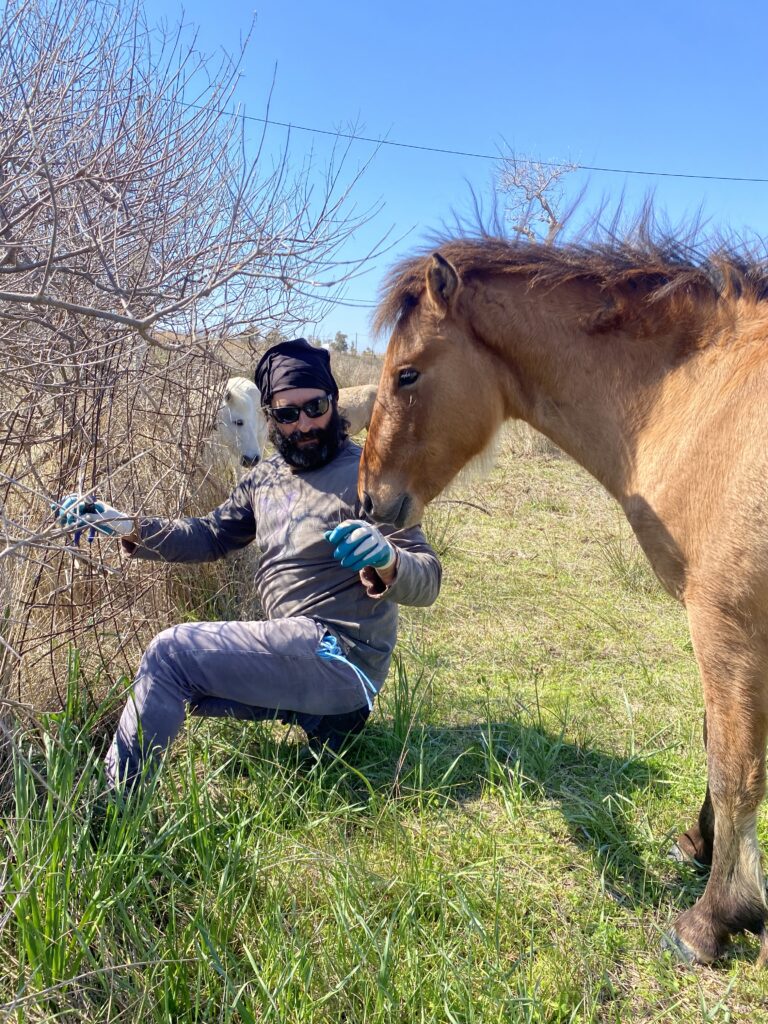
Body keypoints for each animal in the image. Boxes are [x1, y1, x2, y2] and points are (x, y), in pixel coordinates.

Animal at [360, 228, 768, 962]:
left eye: (406, 374)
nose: (368, 499)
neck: (701, 399)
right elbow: (716, 741)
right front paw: (700, 848)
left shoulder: (726, 622)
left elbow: (734, 767)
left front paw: (714, 917)